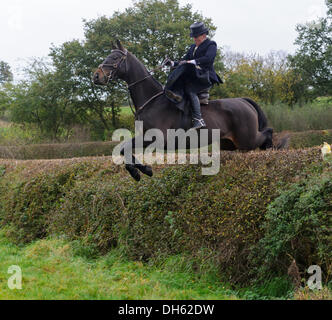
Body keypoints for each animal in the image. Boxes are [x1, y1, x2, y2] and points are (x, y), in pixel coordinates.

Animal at [93, 39, 274, 182]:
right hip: (230, 144)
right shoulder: (143, 136)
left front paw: (143, 171)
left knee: (267, 133)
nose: (96, 76)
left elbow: (125, 148)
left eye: (115, 58)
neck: (151, 100)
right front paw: (141, 171)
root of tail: (243, 101)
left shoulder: (157, 138)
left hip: (246, 139)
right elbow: (124, 149)